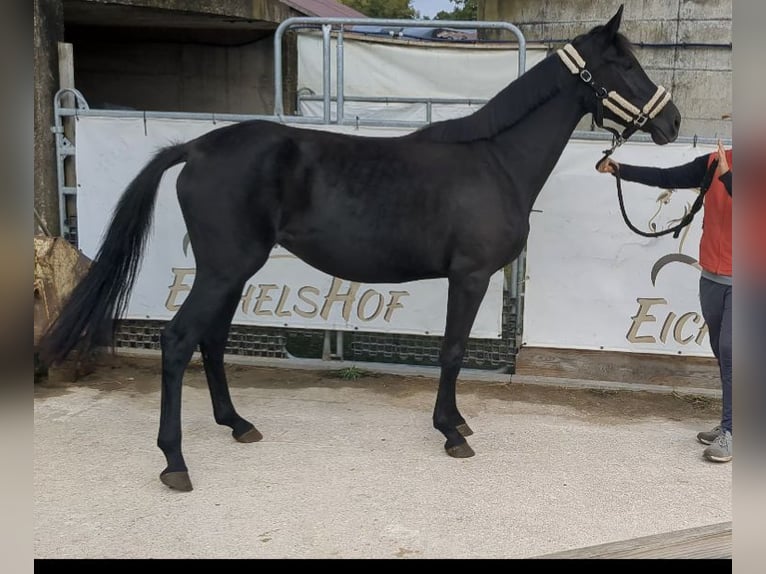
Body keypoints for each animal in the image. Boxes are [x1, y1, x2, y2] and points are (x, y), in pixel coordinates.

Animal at [39, 5, 681, 492]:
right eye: (624, 63)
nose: (672, 122)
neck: (494, 159)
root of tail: (195, 148)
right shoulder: (470, 277)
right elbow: (452, 352)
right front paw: (451, 431)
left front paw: (456, 424)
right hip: (224, 270)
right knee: (177, 341)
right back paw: (175, 462)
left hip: (231, 272)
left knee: (212, 341)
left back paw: (238, 424)